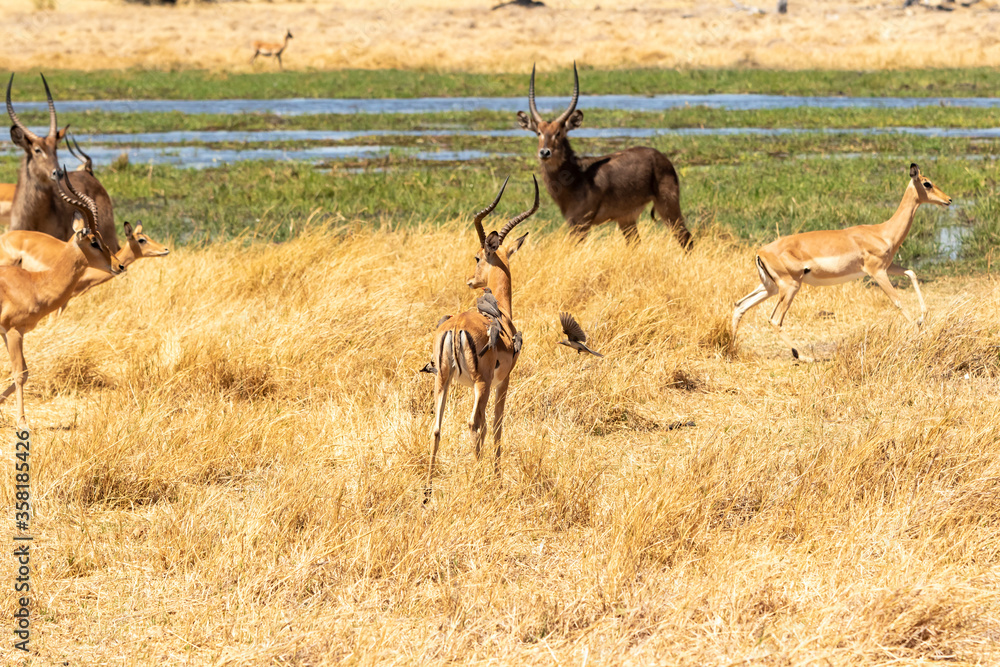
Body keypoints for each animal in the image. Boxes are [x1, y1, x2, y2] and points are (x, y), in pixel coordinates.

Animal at [0, 169, 123, 427]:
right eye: (94, 241)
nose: (119, 265)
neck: (35, 284)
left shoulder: (10, 332)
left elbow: (25, 371)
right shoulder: (14, 332)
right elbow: (19, 374)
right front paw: (22, 422)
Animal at [426, 176, 539, 502]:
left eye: (477, 256)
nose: (471, 280)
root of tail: (455, 328)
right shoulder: (503, 381)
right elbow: (497, 425)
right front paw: (497, 478)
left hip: (443, 381)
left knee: (436, 428)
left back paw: (427, 493)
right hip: (481, 383)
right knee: (474, 424)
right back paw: (477, 483)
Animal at [517, 63, 692, 248]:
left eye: (559, 132)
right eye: (538, 132)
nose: (545, 152)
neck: (577, 176)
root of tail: (661, 157)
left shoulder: (581, 223)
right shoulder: (573, 222)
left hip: (667, 206)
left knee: (686, 239)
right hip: (626, 218)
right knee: (636, 243)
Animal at [731, 163, 952, 361]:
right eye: (927, 183)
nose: (949, 200)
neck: (882, 232)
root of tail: (760, 252)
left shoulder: (888, 267)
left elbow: (912, 273)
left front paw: (922, 317)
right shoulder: (877, 272)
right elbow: (898, 301)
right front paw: (919, 331)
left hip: (771, 287)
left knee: (740, 305)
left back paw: (732, 350)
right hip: (790, 287)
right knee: (774, 320)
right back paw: (804, 357)